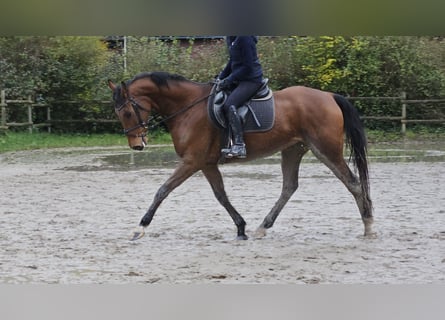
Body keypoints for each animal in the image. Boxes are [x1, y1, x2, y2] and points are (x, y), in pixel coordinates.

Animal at [107, 72, 372, 240]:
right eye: (118, 114)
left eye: (128, 112)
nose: (137, 145)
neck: (187, 107)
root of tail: (329, 96)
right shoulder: (206, 164)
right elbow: (221, 195)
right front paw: (241, 227)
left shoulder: (192, 161)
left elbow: (163, 190)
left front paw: (140, 227)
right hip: (293, 149)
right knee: (289, 186)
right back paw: (262, 227)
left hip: (326, 150)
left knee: (353, 183)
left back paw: (369, 226)